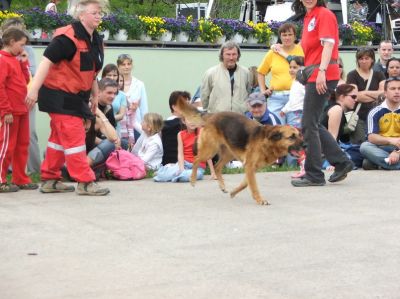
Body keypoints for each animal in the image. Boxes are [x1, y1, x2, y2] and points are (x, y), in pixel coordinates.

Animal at [175, 97, 304, 205]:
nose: (305, 144)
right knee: (196, 160)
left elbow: (246, 183)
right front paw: (260, 200)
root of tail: (211, 115)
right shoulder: (250, 166)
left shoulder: (251, 168)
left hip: (228, 154)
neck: (268, 142)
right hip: (210, 150)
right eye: (292, 137)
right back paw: (192, 180)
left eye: (298, 135)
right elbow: (253, 185)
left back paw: (222, 186)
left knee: (217, 167)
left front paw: (234, 192)